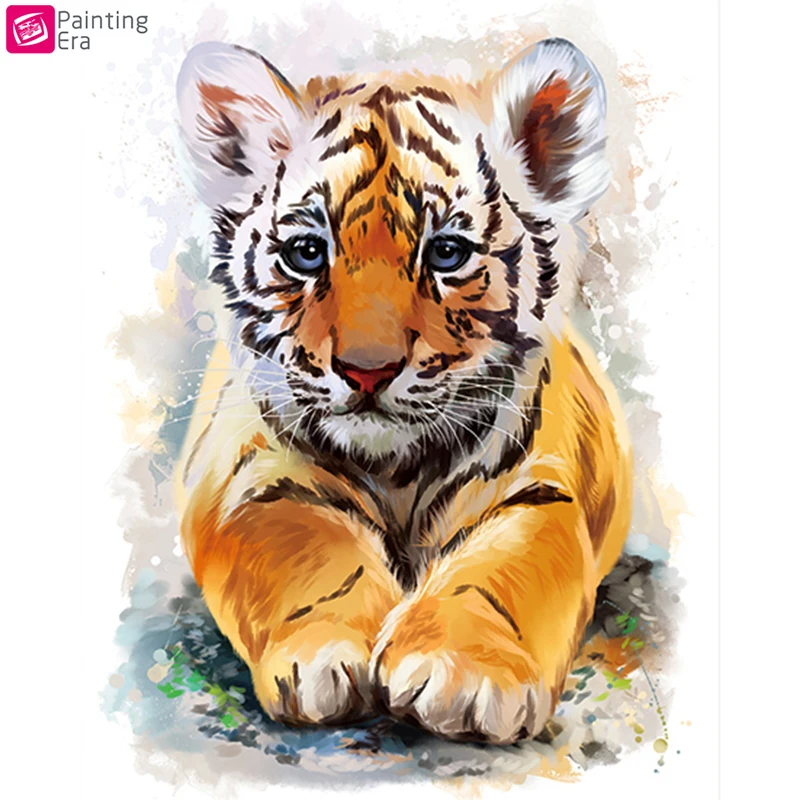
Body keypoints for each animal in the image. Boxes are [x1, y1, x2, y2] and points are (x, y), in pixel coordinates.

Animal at [174, 36, 632, 745]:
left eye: (446, 253)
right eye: (307, 253)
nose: (368, 369)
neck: (397, 470)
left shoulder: (538, 489)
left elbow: (500, 574)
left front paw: (464, 673)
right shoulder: (250, 477)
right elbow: (311, 550)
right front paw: (330, 650)